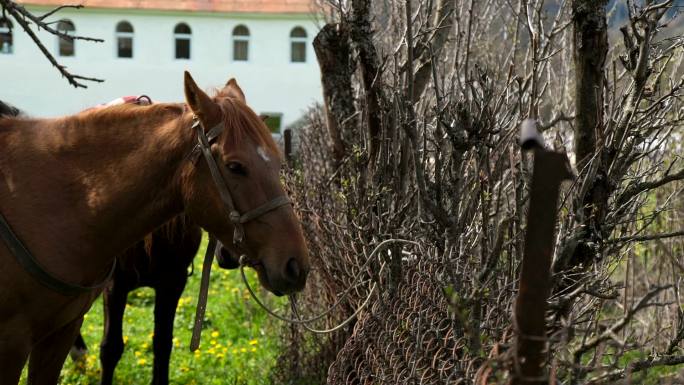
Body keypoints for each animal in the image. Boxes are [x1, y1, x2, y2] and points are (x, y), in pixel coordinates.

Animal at [0, 73, 310, 384]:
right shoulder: (20, 340)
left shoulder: (169, 283)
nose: (295, 265)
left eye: (278, 162)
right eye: (235, 166)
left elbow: (162, 344)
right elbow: (111, 347)